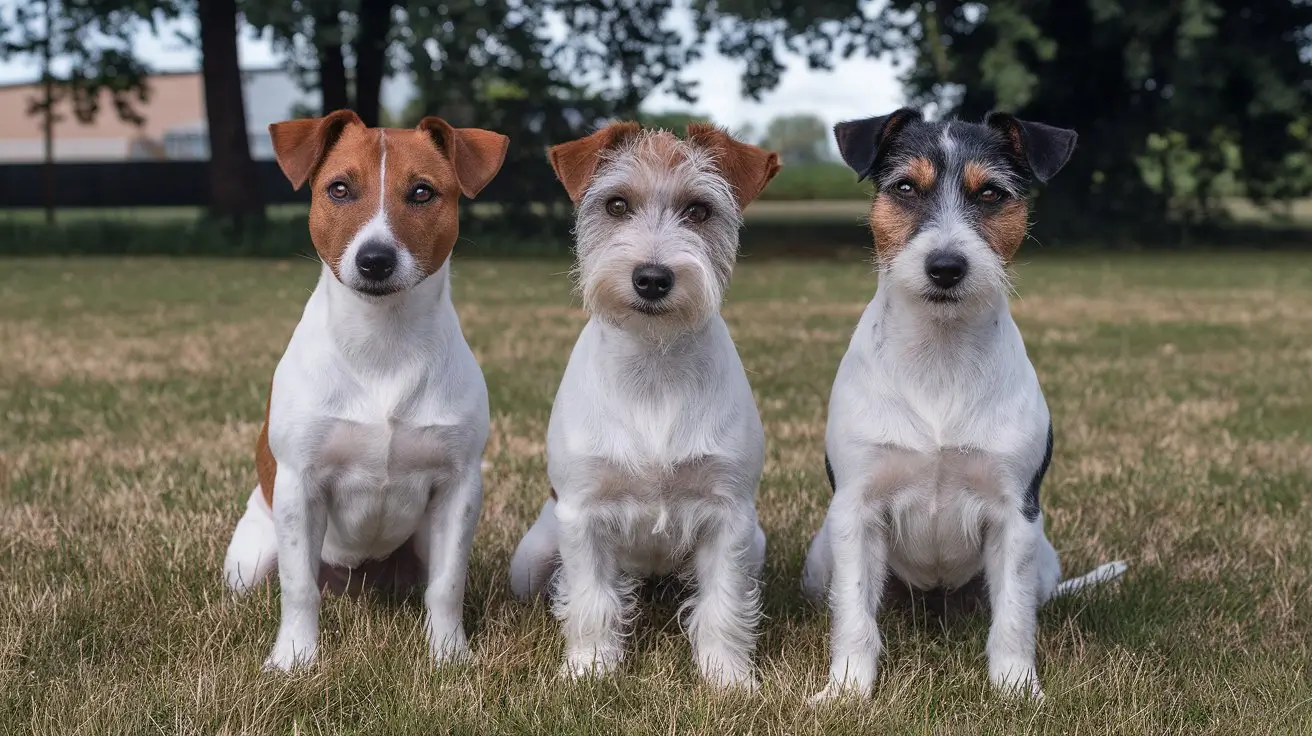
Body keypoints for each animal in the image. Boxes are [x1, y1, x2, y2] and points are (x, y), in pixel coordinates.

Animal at [220, 110, 506, 671]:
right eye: (339, 189)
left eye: (421, 192)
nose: (376, 259)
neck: (383, 343)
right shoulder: (299, 486)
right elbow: (298, 587)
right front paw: (294, 658)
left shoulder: (458, 487)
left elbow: (447, 585)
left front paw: (448, 655)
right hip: (251, 556)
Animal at [509, 122, 776, 687]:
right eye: (616, 204)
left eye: (698, 210)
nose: (652, 278)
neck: (654, 366)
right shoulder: (584, 515)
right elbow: (591, 600)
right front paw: (590, 669)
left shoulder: (729, 517)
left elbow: (723, 604)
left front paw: (728, 678)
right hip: (531, 559)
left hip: (756, 541)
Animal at [797, 107, 1128, 697]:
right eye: (905, 187)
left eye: (991, 193)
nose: (946, 266)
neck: (940, 352)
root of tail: (936, 601)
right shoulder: (857, 511)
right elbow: (854, 615)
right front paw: (846, 691)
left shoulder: (1015, 515)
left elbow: (1014, 618)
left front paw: (1017, 689)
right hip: (821, 557)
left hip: (1043, 553)